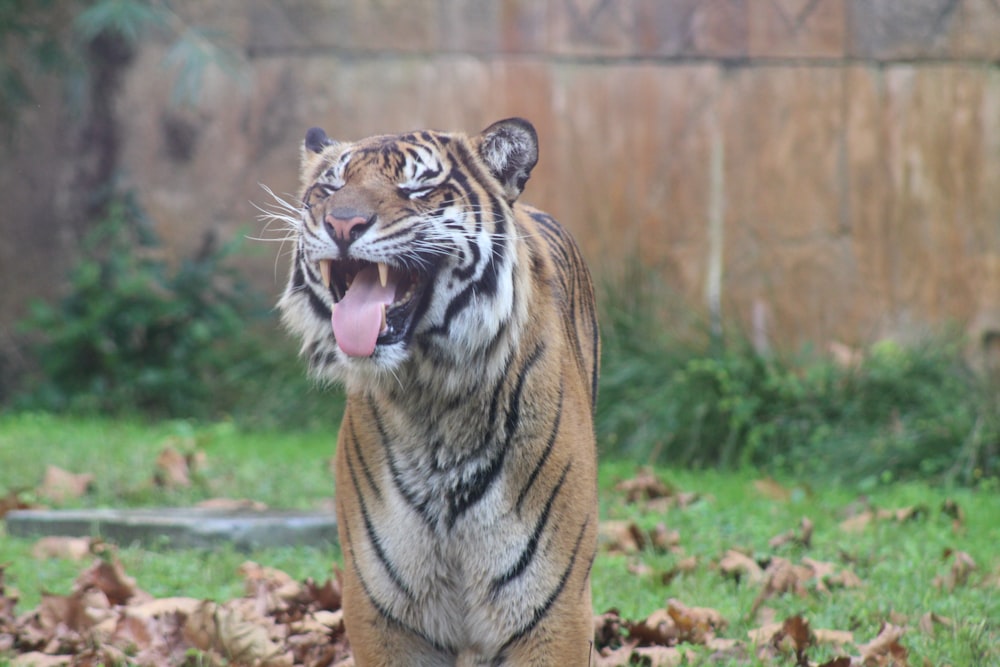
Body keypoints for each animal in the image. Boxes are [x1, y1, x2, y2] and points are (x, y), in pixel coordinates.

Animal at [276, 120, 600, 667]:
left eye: (417, 188)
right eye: (331, 187)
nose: (342, 224)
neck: (431, 402)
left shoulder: (551, 613)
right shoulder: (384, 614)